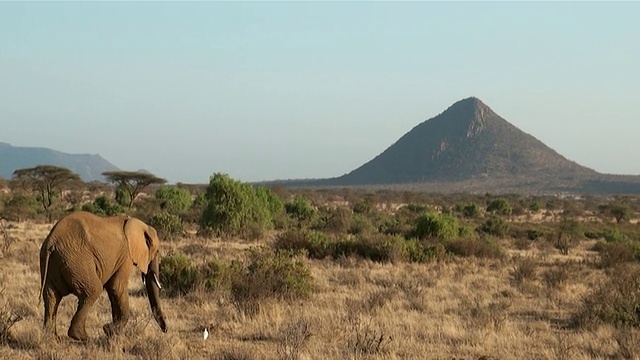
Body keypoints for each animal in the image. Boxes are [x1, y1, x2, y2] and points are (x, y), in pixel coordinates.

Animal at [37, 211, 168, 340]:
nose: (165, 330)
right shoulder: (126, 256)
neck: (139, 224)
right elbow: (116, 286)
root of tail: (52, 241)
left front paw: (112, 333)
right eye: (157, 251)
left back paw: (52, 338)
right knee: (93, 290)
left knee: (51, 296)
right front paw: (109, 330)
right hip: (75, 260)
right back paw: (83, 337)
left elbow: (112, 290)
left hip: (54, 262)